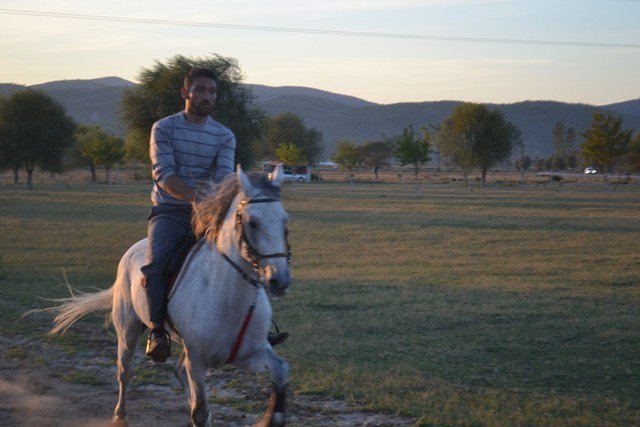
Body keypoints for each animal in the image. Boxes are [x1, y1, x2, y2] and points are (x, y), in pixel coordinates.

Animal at [46, 166, 292, 426]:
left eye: (285, 221)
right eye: (252, 223)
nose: (279, 280)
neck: (230, 300)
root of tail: (133, 250)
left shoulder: (249, 354)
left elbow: (281, 370)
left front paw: (270, 418)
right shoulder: (198, 361)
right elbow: (200, 411)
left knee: (177, 370)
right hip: (127, 329)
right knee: (125, 372)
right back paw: (120, 416)